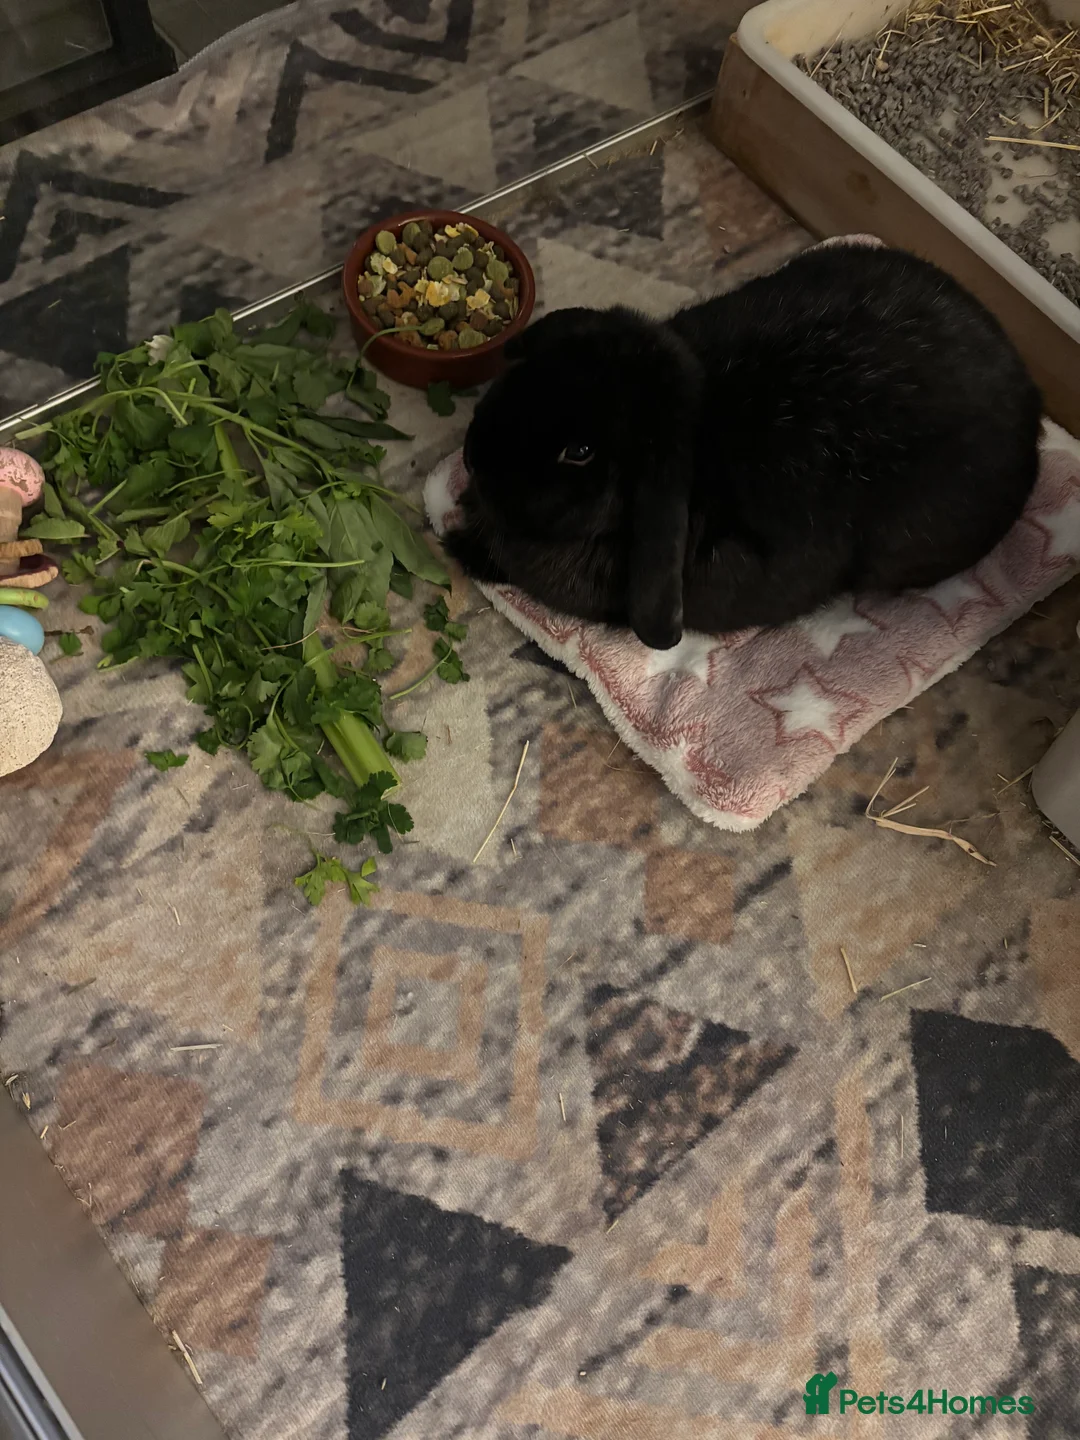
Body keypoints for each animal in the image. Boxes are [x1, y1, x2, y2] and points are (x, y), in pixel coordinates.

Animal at [444, 243, 1042, 651]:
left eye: (581, 452)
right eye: (536, 371)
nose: (472, 456)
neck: (697, 425)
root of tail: (1030, 404)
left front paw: (460, 543)